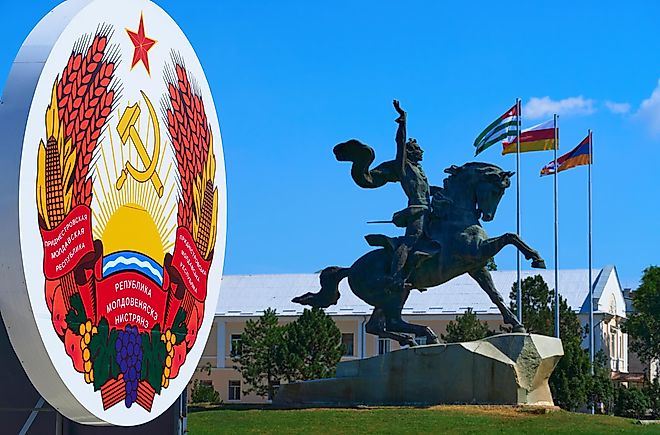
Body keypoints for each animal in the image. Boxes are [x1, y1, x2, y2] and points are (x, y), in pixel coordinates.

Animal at [296, 163, 548, 348]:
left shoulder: (476, 266)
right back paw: (425, 336)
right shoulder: (478, 252)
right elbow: (510, 236)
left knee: (376, 326)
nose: (488, 216)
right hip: (398, 292)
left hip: (387, 298)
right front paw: (536, 258)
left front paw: (517, 324)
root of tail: (351, 269)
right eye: (497, 190)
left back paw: (413, 339)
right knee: (391, 321)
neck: (456, 217)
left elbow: (494, 294)